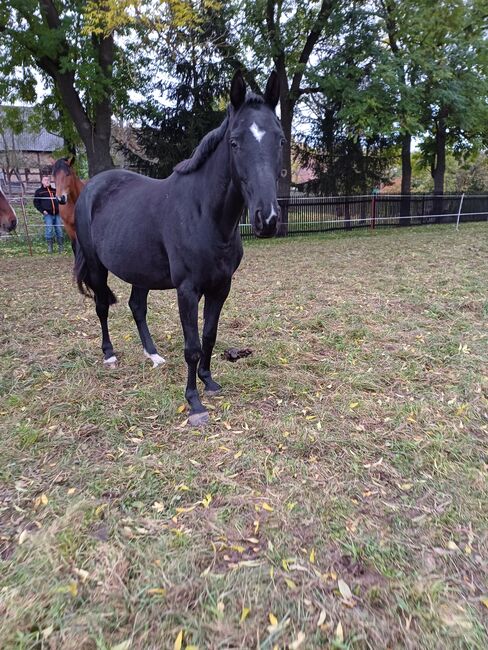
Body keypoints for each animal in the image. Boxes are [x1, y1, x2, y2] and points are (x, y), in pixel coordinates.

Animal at [74, 72, 284, 426]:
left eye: (279, 140)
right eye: (235, 142)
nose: (266, 218)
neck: (204, 214)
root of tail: (91, 187)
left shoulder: (221, 287)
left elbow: (209, 335)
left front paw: (209, 381)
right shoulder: (187, 290)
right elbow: (192, 345)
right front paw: (194, 402)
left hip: (140, 271)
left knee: (136, 307)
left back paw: (154, 356)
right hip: (96, 266)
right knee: (102, 306)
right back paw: (110, 355)